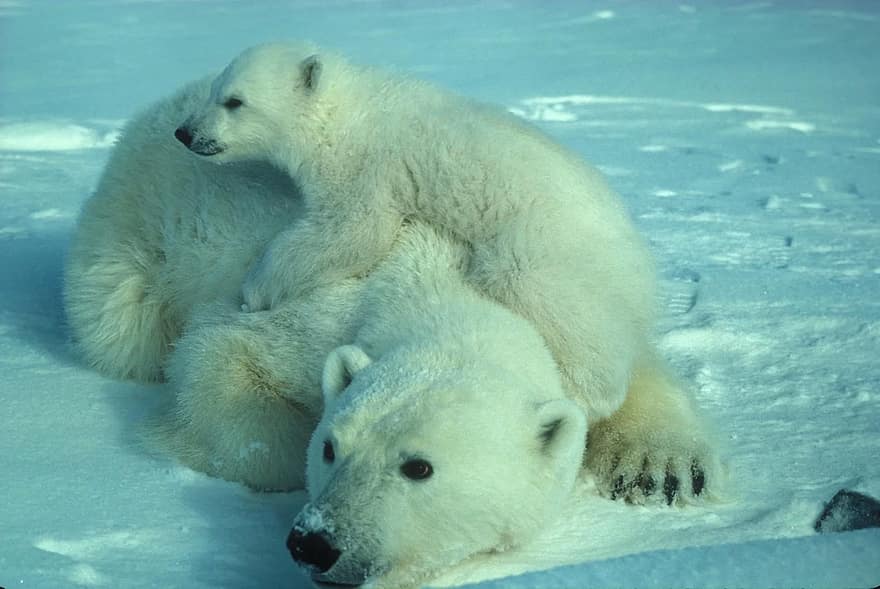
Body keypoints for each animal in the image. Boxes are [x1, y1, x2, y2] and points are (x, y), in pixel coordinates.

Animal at [177, 41, 660, 424]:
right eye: (216, 90)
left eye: (235, 101)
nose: (185, 132)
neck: (345, 111)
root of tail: (641, 265)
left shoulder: (364, 166)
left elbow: (353, 231)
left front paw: (254, 291)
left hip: (546, 245)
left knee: (549, 300)